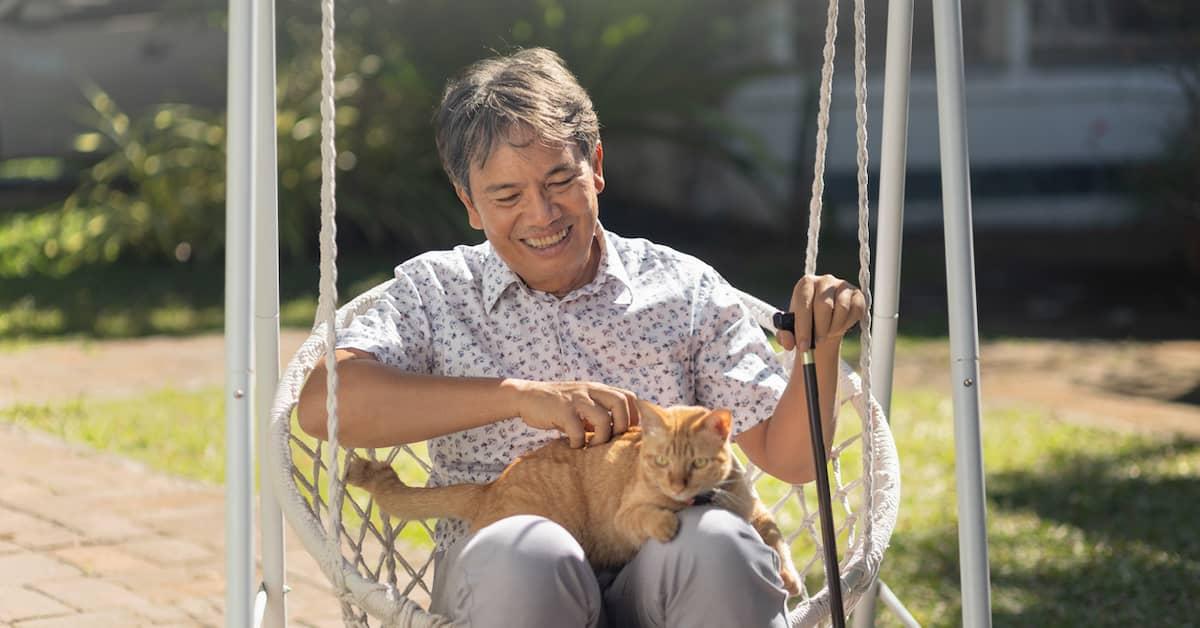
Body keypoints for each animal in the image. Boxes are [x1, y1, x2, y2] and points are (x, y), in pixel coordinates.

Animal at [343, 401, 801, 597]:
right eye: (660, 461)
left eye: (699, 462)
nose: (676, 484)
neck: (703, 499)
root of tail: (490, 487)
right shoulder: (625, 514)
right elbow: (647, 515)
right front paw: (667, 520)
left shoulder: (756, 510)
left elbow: (775, 536)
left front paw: (791, 576)